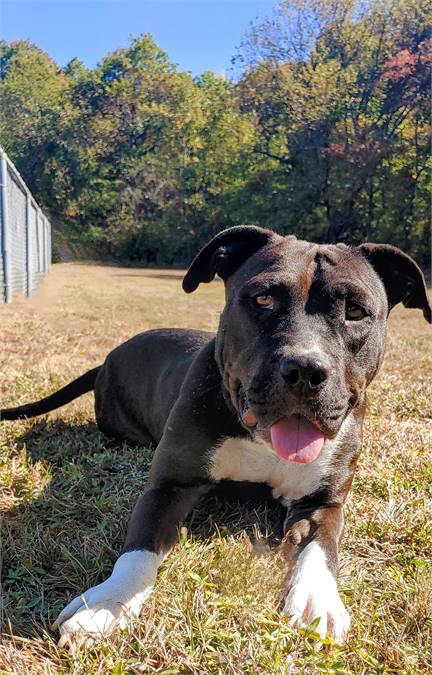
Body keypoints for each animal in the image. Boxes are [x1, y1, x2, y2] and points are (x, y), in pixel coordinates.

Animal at [1, 227, 430, 648]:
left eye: (355, 311)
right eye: (263, 298)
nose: (306, 369)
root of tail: (105, 360)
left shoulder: (323, 503)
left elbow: (319, 550)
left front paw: (317, 599)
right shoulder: (169, 487)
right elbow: (139, 550)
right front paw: (107, 603)